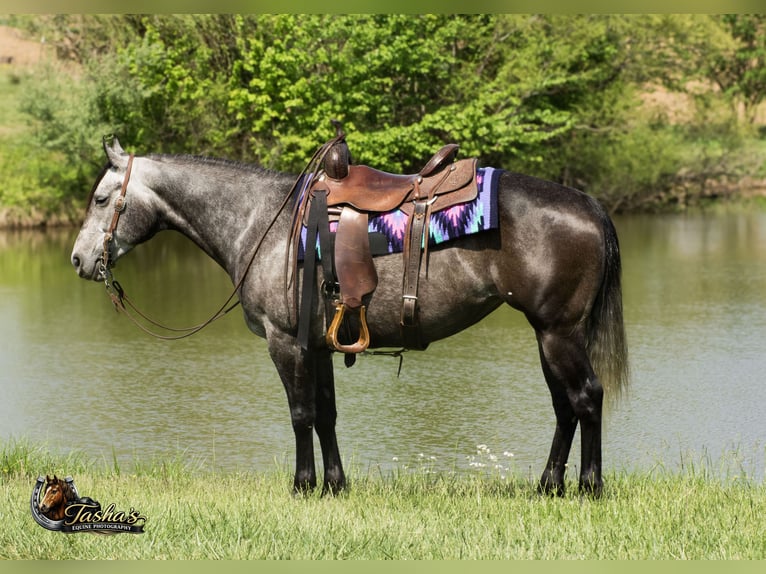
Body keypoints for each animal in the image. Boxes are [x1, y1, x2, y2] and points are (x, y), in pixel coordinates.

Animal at [71, 137, 629, 497]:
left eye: (100, 198)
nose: (78, 260)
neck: (260, 221)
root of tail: (588, 203)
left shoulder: (283, 340)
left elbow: (300, 414)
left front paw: (301, 486)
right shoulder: (316, 344)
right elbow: (326, 414)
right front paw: (334, 485)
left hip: (559, 334)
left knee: (586, 397)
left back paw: (589, 487)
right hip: (549, 335)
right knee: (564, 407)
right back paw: (549, 486)